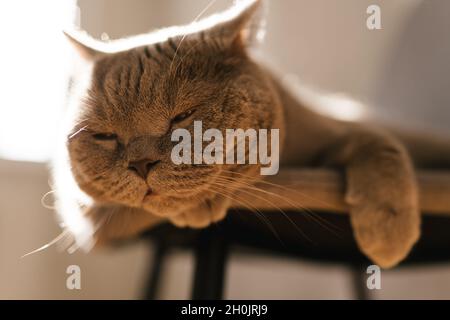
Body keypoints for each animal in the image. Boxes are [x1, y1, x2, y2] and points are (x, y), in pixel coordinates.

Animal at [53, 0, 450, 268]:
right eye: (105, 136)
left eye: (183, 116)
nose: (141, 162)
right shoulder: (80, 210)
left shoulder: (335, 130)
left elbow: (377, 142)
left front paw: (388, 226)